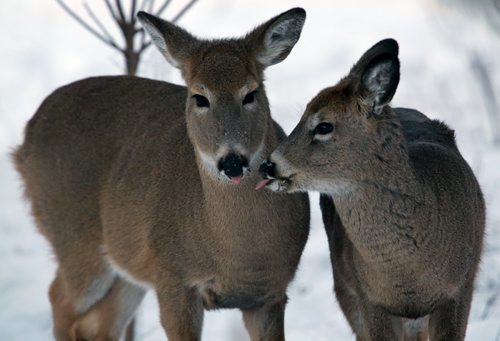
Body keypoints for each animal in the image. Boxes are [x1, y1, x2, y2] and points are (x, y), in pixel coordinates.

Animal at [11, 8, 310, 340]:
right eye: (199, 97)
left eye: (251, 93)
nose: (232, 162)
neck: (236, 255)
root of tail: (28, 134)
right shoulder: (172, 278)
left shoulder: (271, 294)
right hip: (74, 239)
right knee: (59, 298)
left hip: (126, 263)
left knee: (98, 325)